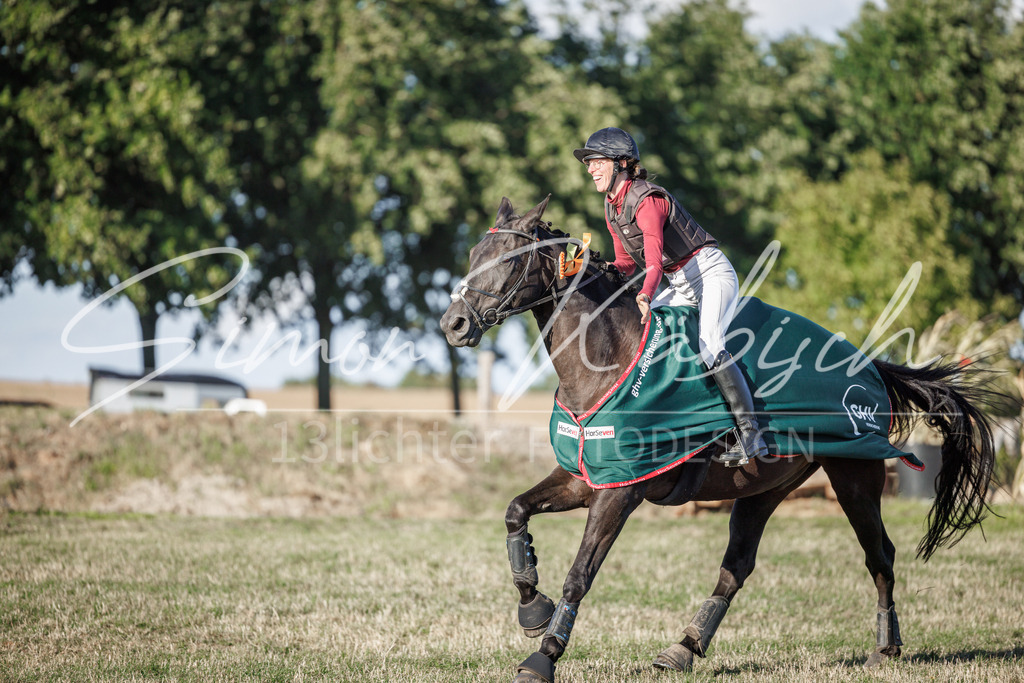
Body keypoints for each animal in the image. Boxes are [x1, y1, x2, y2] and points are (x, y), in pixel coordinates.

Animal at [439, 196, 997, 682]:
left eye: (509, 261)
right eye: (474, 256)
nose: (453, 324)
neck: (606, 362)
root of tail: (872, 366)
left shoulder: (621, 491)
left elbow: (580, 573)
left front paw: (545, 656)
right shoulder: (586, 478)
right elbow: (516, 511)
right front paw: (532, 607)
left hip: (854, 475)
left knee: (880, 555)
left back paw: (885, 647)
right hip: (764, 488)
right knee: (737, 567)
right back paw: (683, 648)